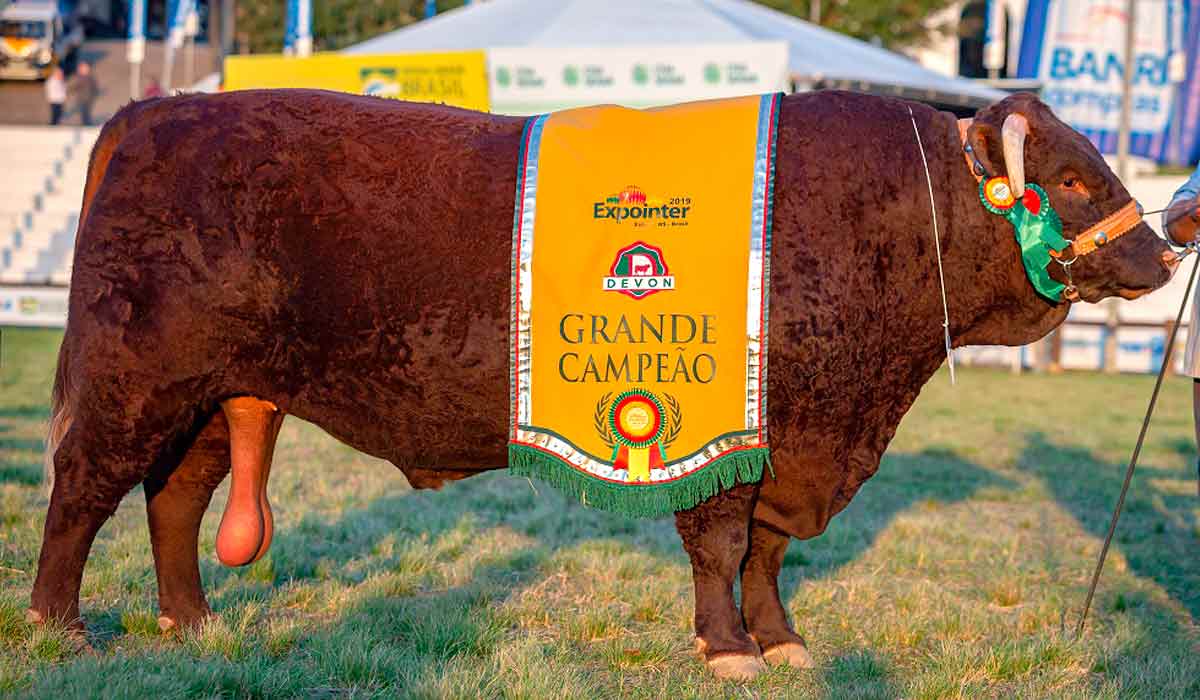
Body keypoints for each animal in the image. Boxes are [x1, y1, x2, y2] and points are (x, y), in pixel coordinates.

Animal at [30, 87, 1180, 677]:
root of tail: (154, 111)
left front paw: (783, 642)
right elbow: (721, 543)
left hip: (212, 394)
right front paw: (728, 649)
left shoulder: (793, 444)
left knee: (175, 498)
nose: (1165, 251)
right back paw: (61, 626)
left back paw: (192, 624)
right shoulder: (737, 437)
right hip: (136, 380)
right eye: (1069, 179)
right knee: (82, 490)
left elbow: (767, 553)